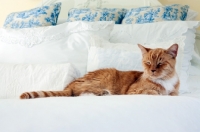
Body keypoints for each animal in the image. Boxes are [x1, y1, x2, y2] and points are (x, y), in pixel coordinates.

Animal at [19, 43, 180, 99]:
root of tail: (68, 85)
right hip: (105, 76)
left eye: (160, 63)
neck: (165, 81)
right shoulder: (134, 91)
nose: (152, 71)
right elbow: (154, 92)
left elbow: (173, 94)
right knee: (79, 92)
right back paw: (103, 93)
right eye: (148, 63)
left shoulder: (176, 92)